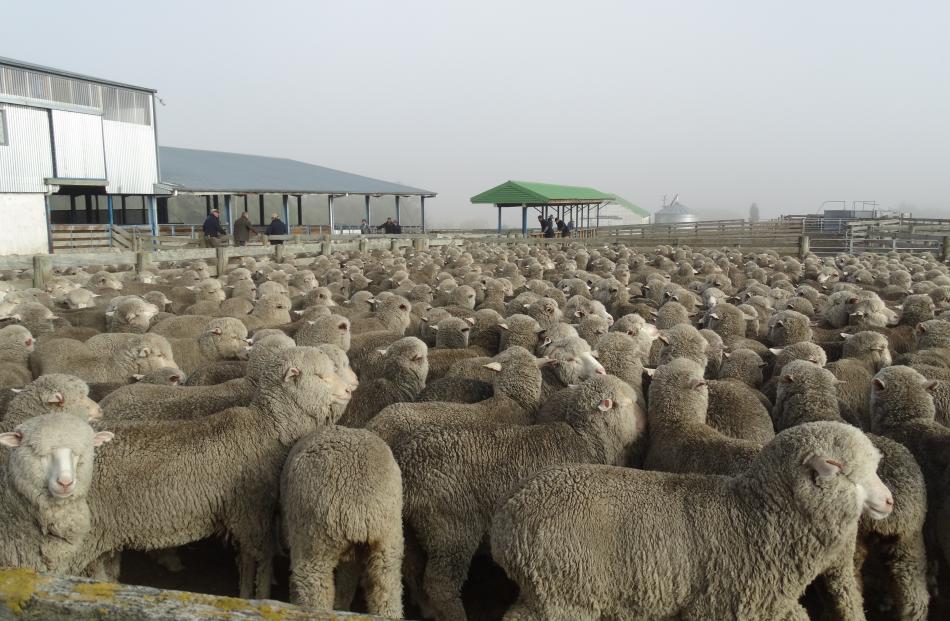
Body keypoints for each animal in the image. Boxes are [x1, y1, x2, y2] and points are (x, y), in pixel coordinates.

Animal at [71, 346, 354, 600]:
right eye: (321, 376)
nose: (350, 390)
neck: (266, 428)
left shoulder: (247, 513)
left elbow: (248, 557)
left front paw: (246, 591)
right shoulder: (252, 510)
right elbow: (261, 558)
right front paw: (259, 595)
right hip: (86, 534)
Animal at [280, 426, 404, 616]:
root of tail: (360, 510)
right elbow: (347, 583)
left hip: (316, 536)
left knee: (313, 582)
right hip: (388, 541)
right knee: (386, 586)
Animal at [390, 372, 644, 620]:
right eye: (629, 403)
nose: (645, 424)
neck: (586, 440)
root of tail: (407, 463)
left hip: (412, 530)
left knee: (412, 571)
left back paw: (426, 609)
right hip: (451, 529)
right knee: (440, 584)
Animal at [490, 418, 892, 620]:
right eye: (851, 474)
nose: (889, 501)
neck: (756, 517)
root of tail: (510, 509)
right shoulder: (717, 607)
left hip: (548, 591)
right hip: (565, 594)